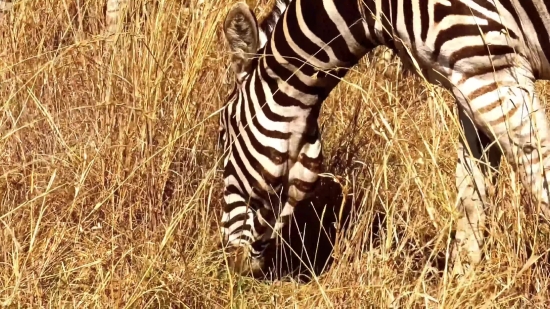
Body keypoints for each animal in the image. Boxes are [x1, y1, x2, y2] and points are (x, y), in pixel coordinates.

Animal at [220, 0, 550, 276]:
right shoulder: (469, 80)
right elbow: (471, 192)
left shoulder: (489, 70)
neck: (368, 9)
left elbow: (541, 177)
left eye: (222, 136)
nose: (231, 263)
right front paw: (461, 281)